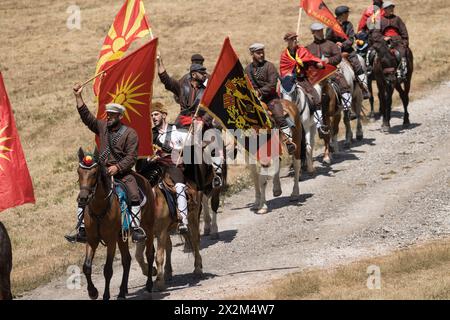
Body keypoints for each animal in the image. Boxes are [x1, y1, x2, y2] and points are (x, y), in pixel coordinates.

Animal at [76, 148, 156, 300]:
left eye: (94, 173)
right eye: (79, 172)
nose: (83, 198)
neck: (100, 208)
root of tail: (144, 180)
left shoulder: (111, 240)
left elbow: (108, 269)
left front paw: (105, 295)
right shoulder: (92, 239)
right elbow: (86, 267)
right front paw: (93, 292)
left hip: (148, 228)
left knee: (149, 254)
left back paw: (149, 285)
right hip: (121, 236)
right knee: (127, 260)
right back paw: (122, 292)